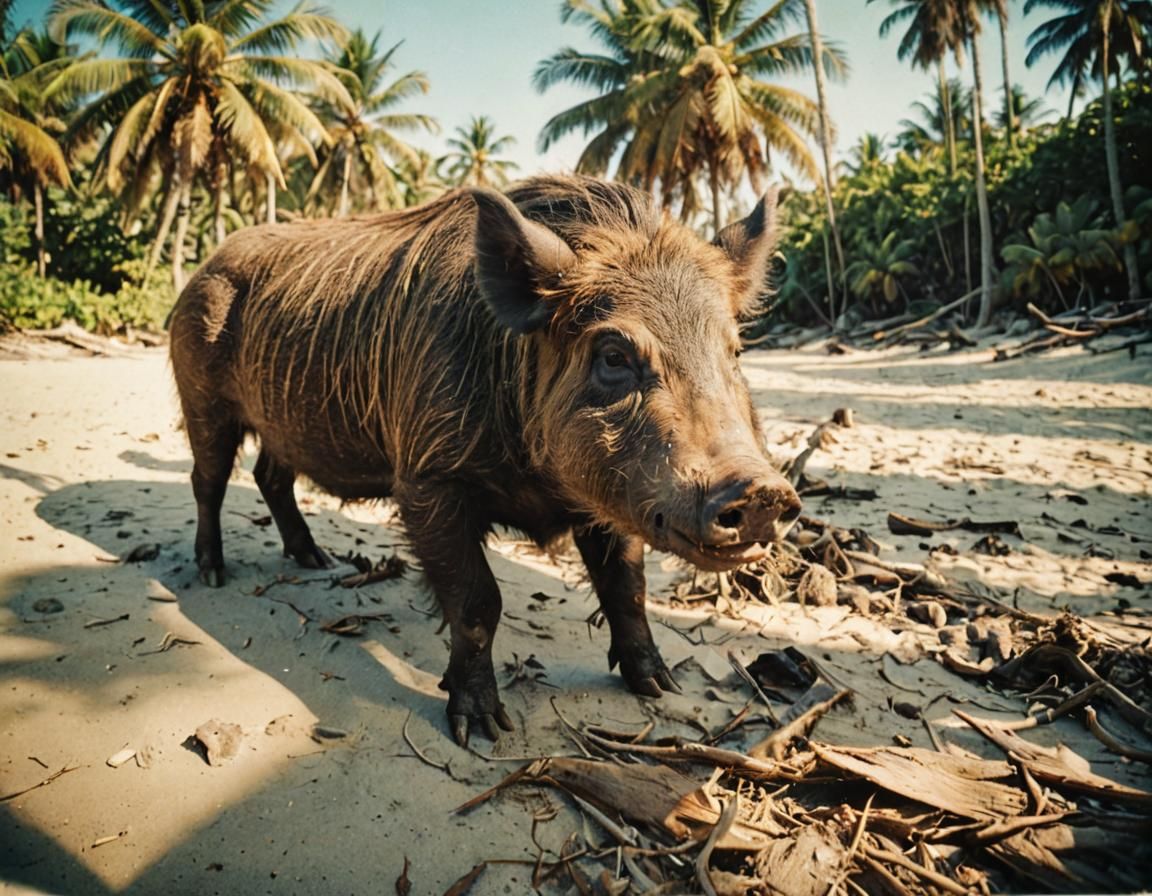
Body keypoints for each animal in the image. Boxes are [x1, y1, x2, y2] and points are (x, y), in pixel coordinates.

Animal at [168, 175, 801, 744]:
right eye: (613, 354)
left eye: (734, 351)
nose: (762, 492)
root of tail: (203, 267)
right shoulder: (425, 479)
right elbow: (478, 601)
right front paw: (481, 731)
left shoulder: (611, 498)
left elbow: (628, 585)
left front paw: (661, 687)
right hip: (201, 395)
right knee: (209, 480)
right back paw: (212, 572)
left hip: (282, 425)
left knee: (270, 477)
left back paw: (315, 560)